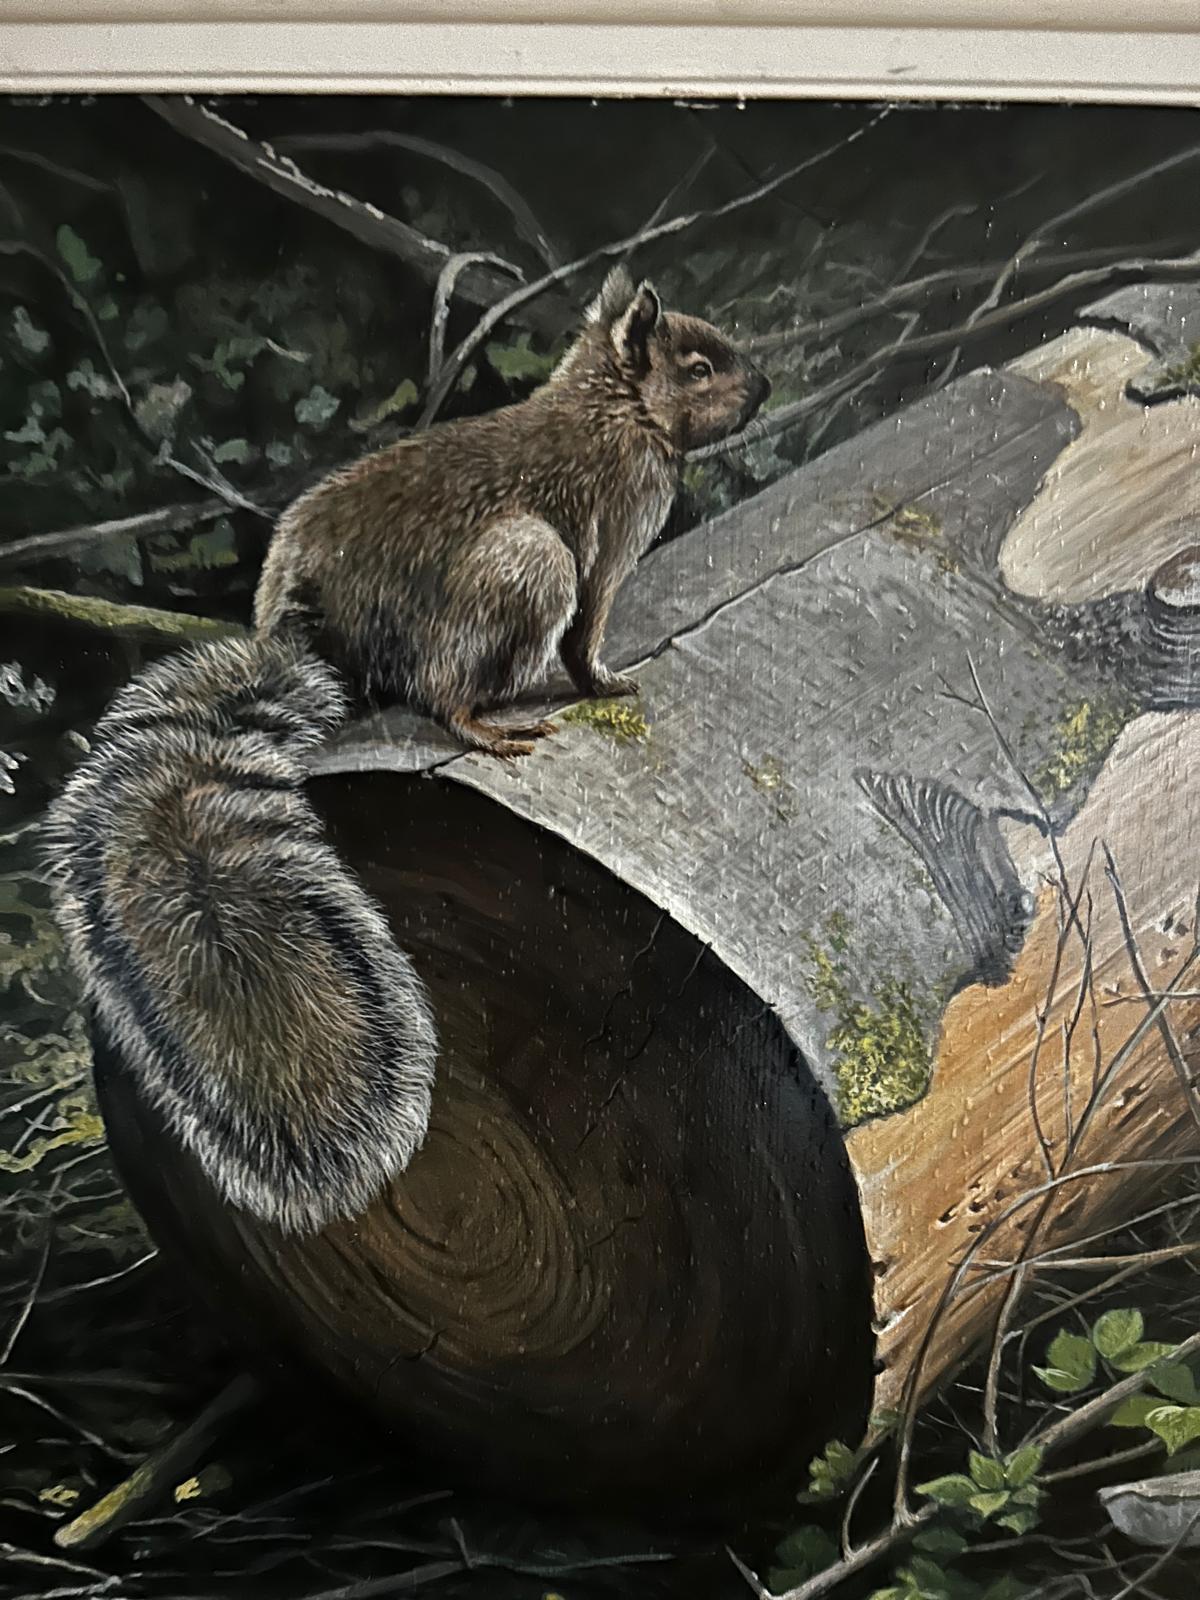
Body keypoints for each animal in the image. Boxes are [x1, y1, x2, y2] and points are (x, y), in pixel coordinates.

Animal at [44, 268, 769, 1235]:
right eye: (698, 367)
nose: (764, 386)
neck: (608, 409)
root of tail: (309, 630)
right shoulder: (610, 532)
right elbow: (589, 634)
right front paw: (607, 681)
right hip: (524, 562)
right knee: (441, 691)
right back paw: (491, 722)